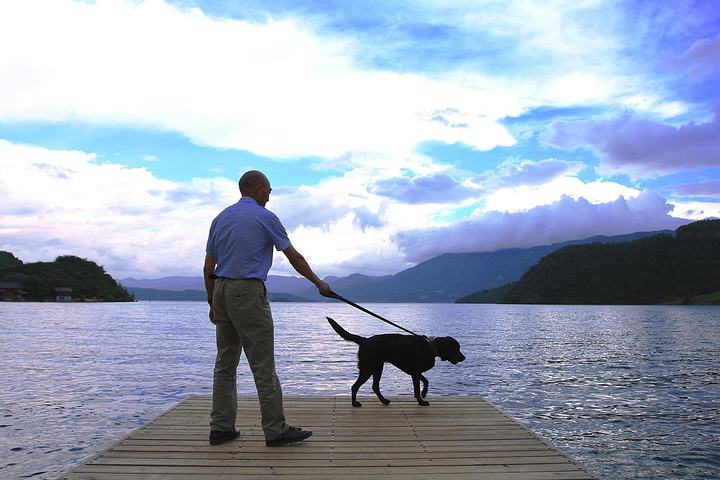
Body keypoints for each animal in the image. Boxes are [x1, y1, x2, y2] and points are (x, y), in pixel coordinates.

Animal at [328, 316, 466, 406]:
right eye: (456, 348)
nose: (463, 358)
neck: (430, 348)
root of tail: (365, 340)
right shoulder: (415, 373)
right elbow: (417, 388)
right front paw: (421, 401)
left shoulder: (415, 372)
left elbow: (426, 381)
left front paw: (424, 393)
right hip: (368, 368)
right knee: (355, 386)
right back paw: (355, 403)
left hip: (377, 368)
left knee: (374, 386)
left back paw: (384, 401)